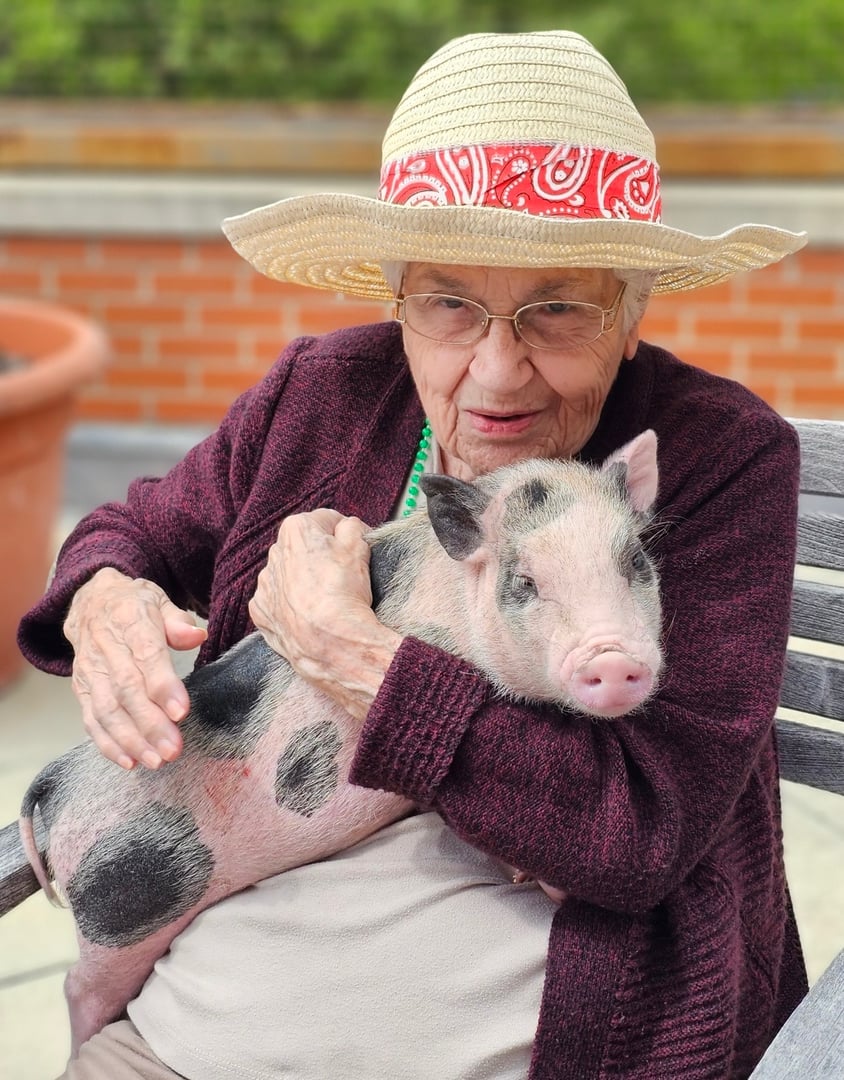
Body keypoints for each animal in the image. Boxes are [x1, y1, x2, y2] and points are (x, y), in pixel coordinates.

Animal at [18, 428, 662, 1057]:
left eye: (635, 561)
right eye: (525, 581)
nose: (614, 661)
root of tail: (52, 787)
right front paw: (537, 880)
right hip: (127, 902)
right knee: (76, 985)